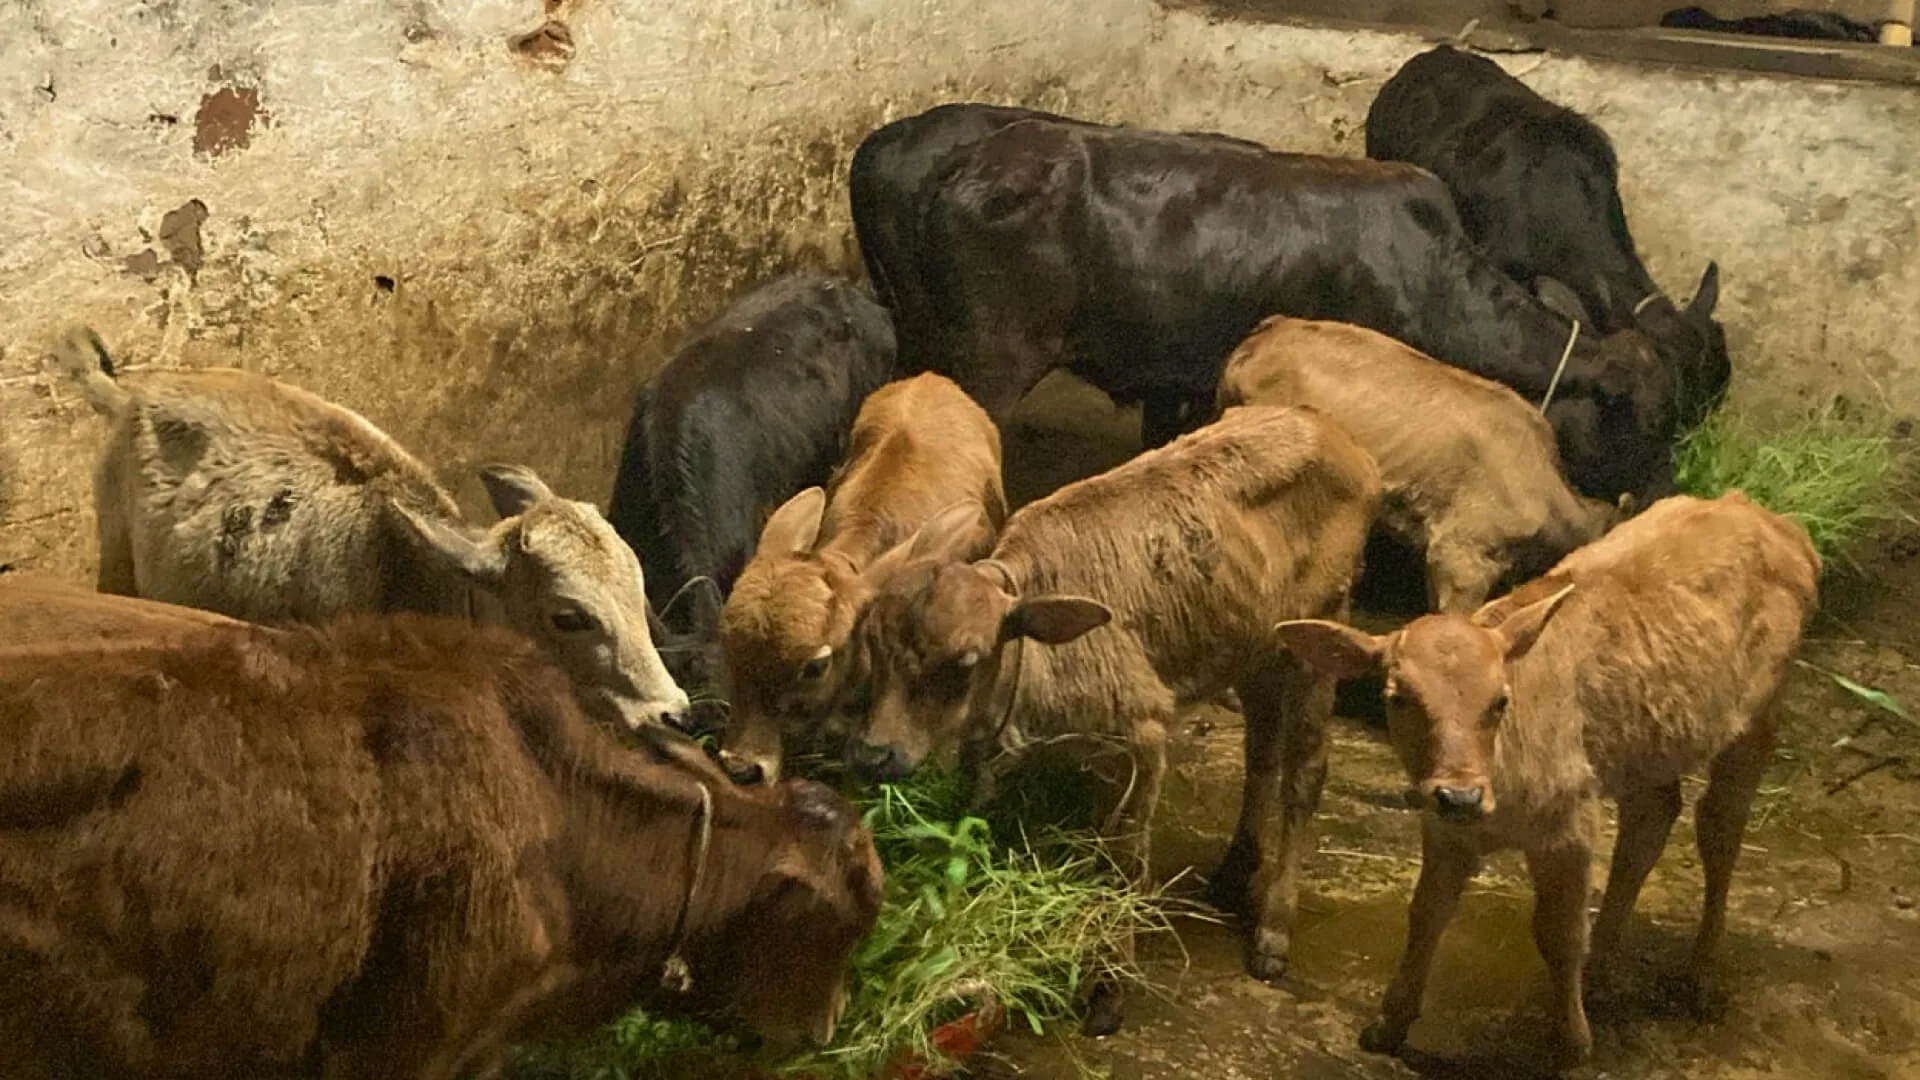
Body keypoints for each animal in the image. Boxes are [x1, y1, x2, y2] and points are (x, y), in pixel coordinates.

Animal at [848, 404, 1382, 1034]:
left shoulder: (1144, 737)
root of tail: (1331, 429)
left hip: (1318, 642)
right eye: (873, 644)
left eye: (965, 660)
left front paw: (1109, 992)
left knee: (1304, 774)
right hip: (1254, 648)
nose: (874, 753)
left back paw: (1273, 931)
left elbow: (1124, 866)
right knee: (1262, 750)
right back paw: (1233, 871)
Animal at [1275, 491, 1819, 1066]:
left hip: (1758, 720)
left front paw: (1572, 1043)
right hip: (1648, 740)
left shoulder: (1568, 826)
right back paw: (1600, 971)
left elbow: (1558, 933)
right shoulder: (1446, 831)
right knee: (1650, 821)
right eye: (1398, 698)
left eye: (1500, 701)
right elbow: (1426, 914)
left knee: (1720, 827)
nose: (1460, 794)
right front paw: (1389, 1024)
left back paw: (1698, 979)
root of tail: (1763, 515)